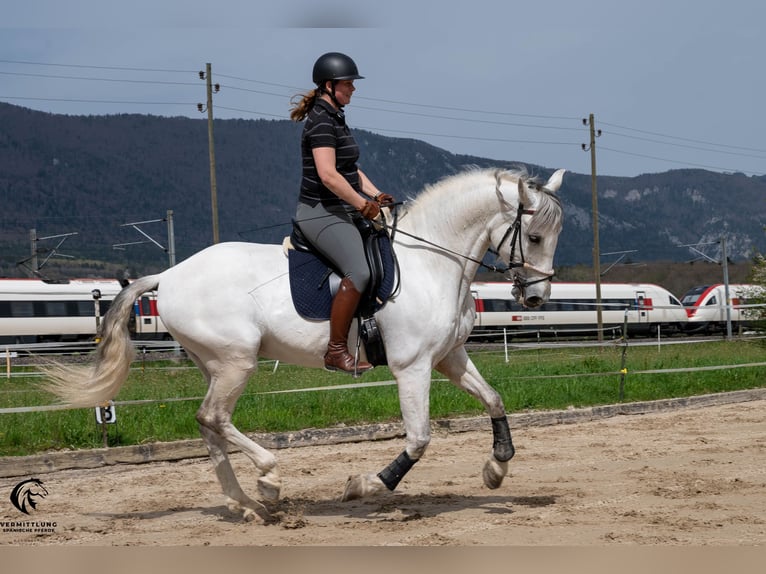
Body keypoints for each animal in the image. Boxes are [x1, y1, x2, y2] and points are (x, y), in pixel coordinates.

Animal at [46, 166, 564, 520]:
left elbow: (494, 399)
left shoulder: (449, 358)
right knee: (213, 417)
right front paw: (367, 485)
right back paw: (268, 480)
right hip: (237, 361)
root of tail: (169, 275)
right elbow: (419, 438)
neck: (434, 264)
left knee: (208, 425)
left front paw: (497, 468)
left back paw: (246, 505)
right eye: (536, 236)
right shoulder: (412, 366)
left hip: (212, 363)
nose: (536, 298)